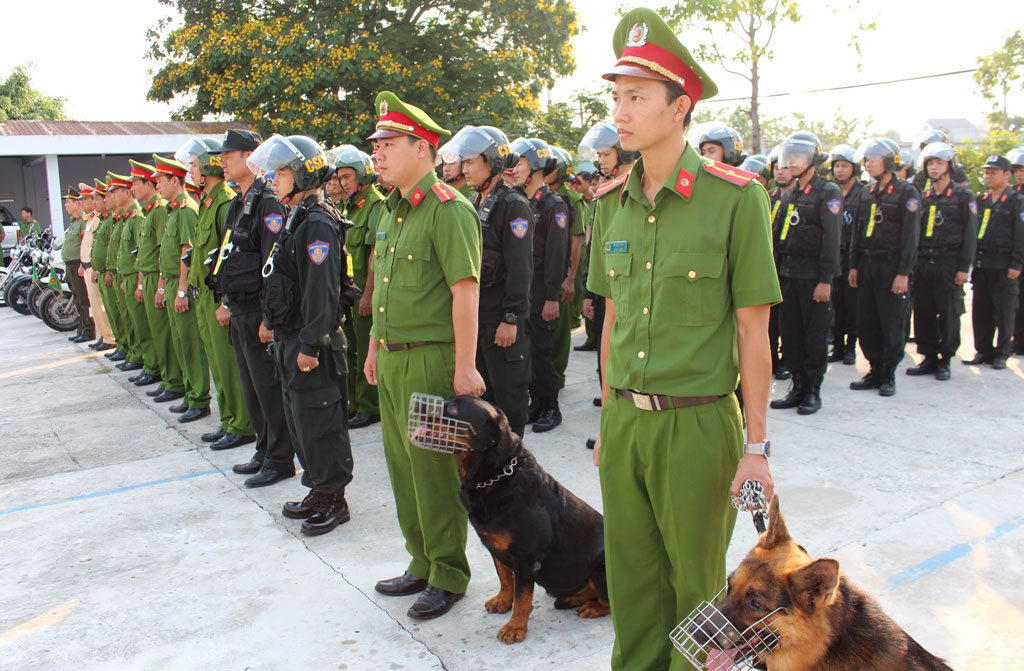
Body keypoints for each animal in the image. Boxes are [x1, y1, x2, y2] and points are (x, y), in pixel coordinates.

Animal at [417, 395, 606, 643]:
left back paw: (592, 607)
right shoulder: (495, 547)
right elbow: (506, 579)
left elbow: (522, 597)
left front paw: (515, 628)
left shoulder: (526, 557)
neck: (493, 477)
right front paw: (503, 601)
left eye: (454, 408)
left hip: (602, 567)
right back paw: (571, 599)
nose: (417, 403)